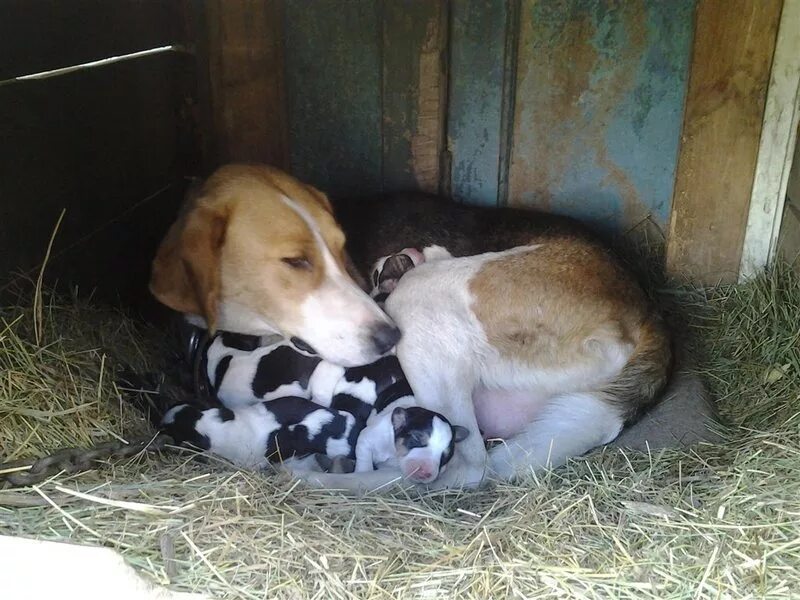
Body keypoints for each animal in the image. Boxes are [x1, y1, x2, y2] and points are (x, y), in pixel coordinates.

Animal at [153, 162, 704, 490]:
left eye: (340, 246)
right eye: (294, 261)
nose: (385, 341)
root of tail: (648, 311)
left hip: (422, 301)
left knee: (460, 467)